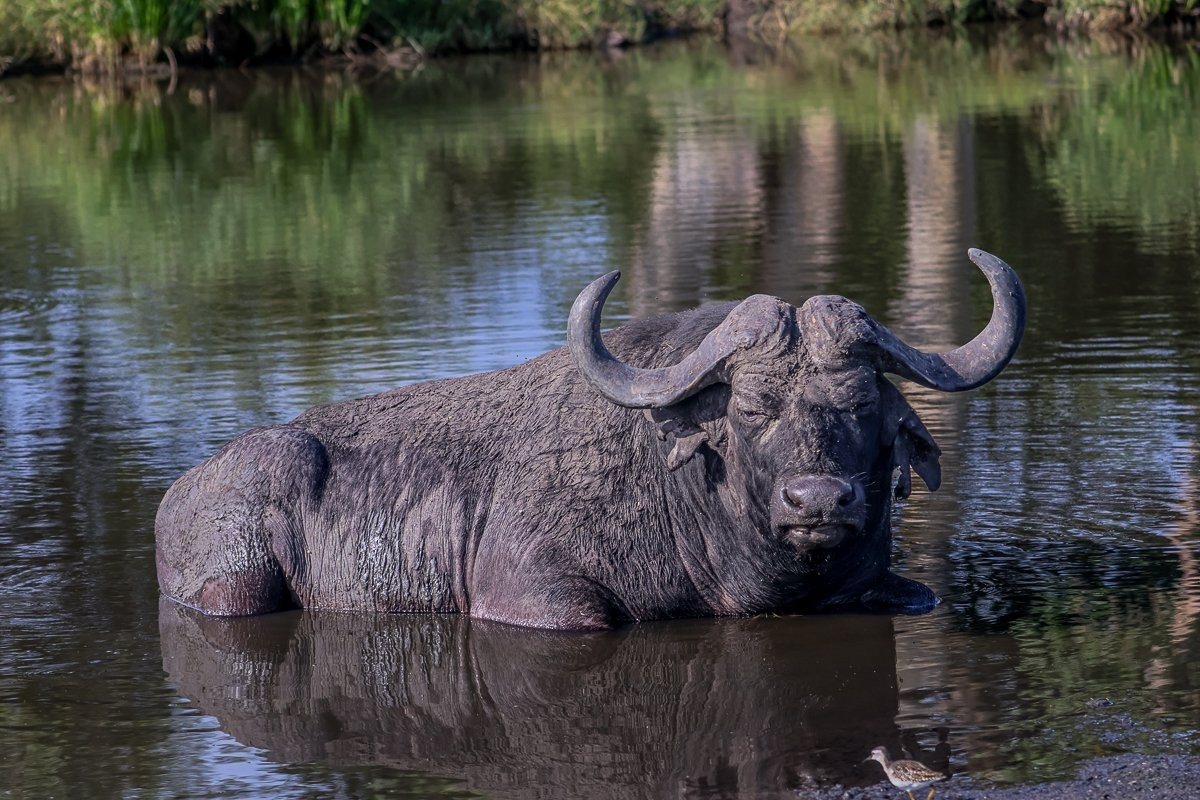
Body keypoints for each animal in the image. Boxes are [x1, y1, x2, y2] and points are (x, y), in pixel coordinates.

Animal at [155, 248, 1025, 630]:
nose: (819, 499)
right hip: (235, 582)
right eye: (751, 406)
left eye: (862, 402)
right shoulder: (531, 594)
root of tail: (178, 493)